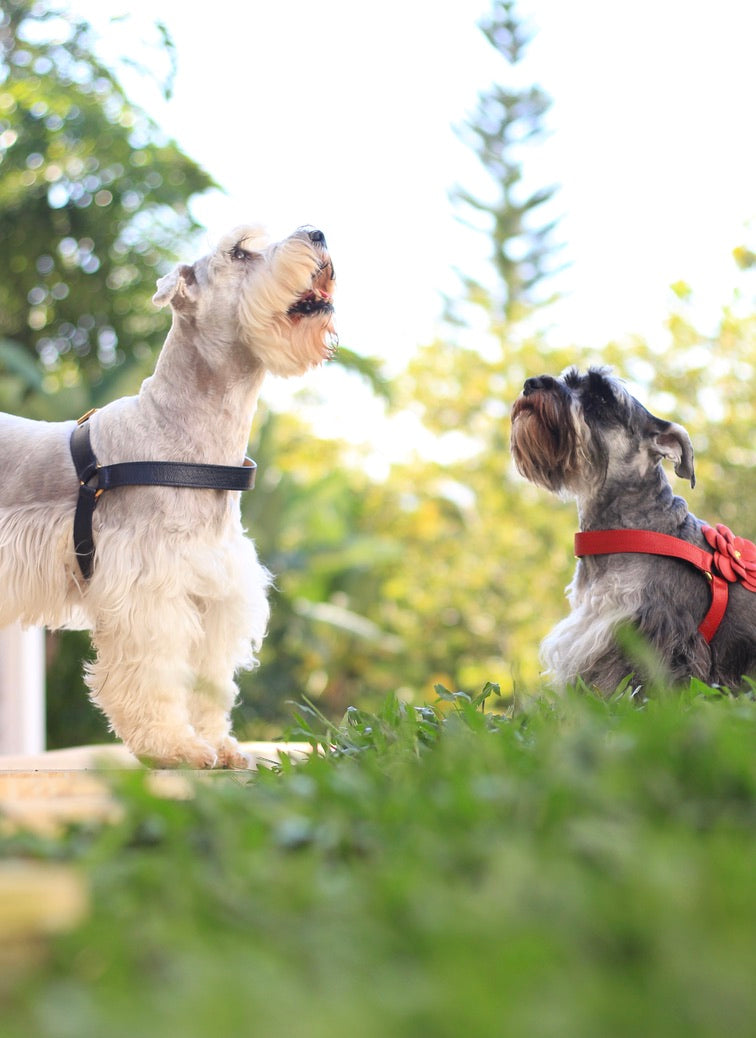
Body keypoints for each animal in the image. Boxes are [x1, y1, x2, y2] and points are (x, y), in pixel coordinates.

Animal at [0, 223, 336, 768]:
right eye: (239, 251)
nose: (317, 232)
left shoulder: (214, 592)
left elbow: (208, 680)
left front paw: (218, 744)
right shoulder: (148, 587)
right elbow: (154, 671)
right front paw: (173, 747)